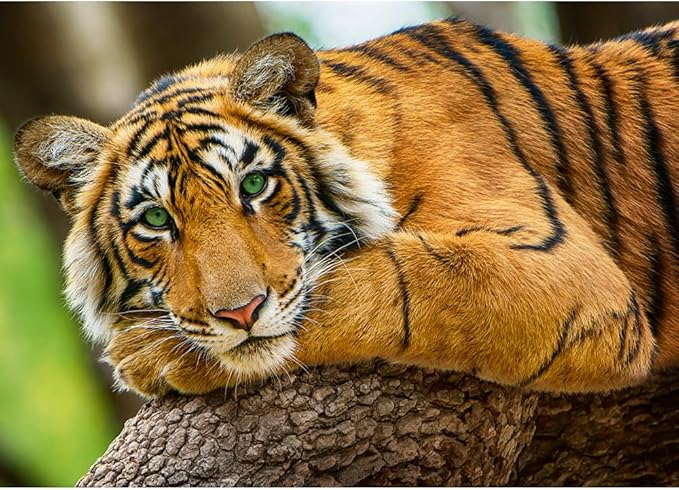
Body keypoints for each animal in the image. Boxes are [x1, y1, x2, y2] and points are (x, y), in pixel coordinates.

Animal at [13, 17, 679, 398]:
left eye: (254, 185)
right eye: (155, 220)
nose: (240, 313)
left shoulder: (566, 270)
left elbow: (387, 281)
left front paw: (148, 353)